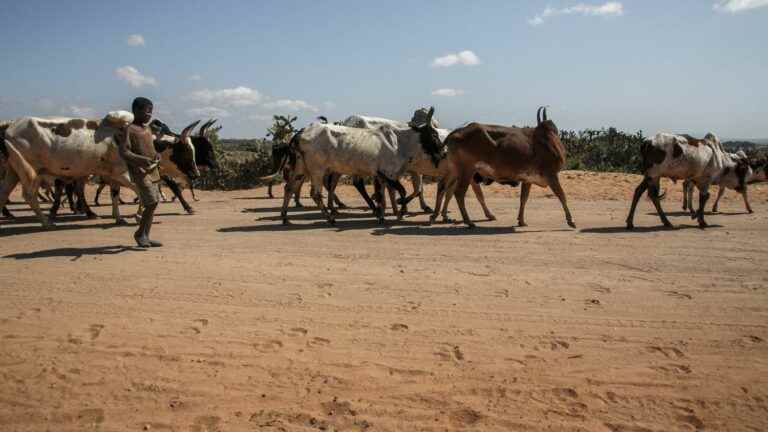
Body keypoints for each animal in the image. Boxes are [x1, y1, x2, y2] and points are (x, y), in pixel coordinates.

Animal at [436, 107, 572, 230]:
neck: (550, 142)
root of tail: (456, 132)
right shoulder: (551, 174)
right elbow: (561, 195)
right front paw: (571, 221)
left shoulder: (527, 179)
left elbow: (523, 199)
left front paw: (521, 221)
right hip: (467, 171)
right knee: (458, 193)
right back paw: (469, 222)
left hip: (456, 171)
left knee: (444, 187)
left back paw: (436, 216)